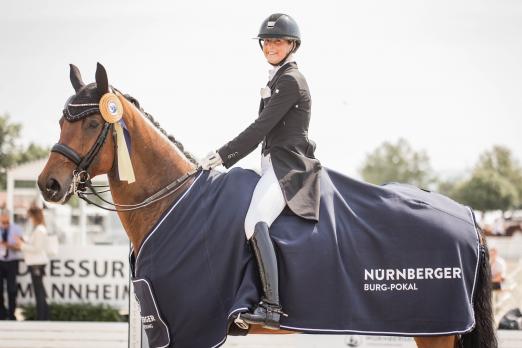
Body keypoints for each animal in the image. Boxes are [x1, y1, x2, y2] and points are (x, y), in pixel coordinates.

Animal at [37, 62, 496, 348]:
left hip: (437, 330)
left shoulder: (188, 322)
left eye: (92, 123)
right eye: (61, 121)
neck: (173, 202)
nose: (48, 185)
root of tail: (469, 217)